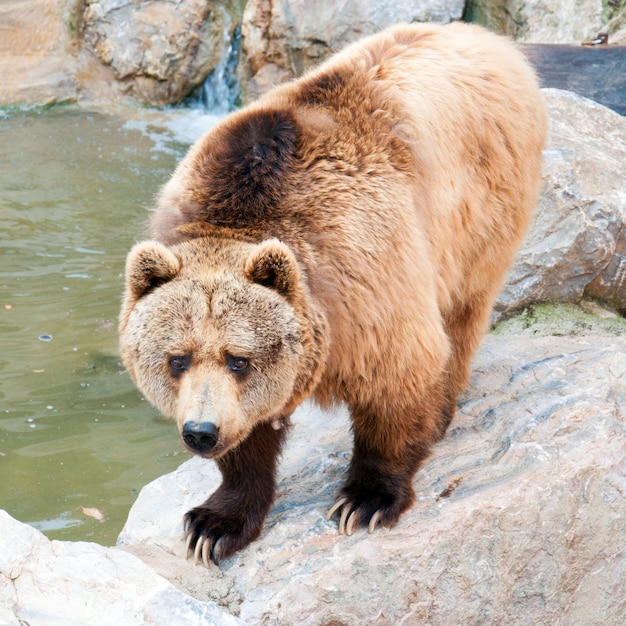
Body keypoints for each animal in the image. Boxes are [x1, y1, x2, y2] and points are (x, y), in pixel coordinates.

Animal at [119, 20, 544, 564]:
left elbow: (399, 374)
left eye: (239, 359)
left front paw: (365, 500)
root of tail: (486, 39)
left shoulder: (367, 273)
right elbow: (251, 436)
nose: (200, 432)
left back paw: (442, 411)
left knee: (463, 311)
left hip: (482, 204)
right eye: (177, 358)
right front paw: (214, 523)